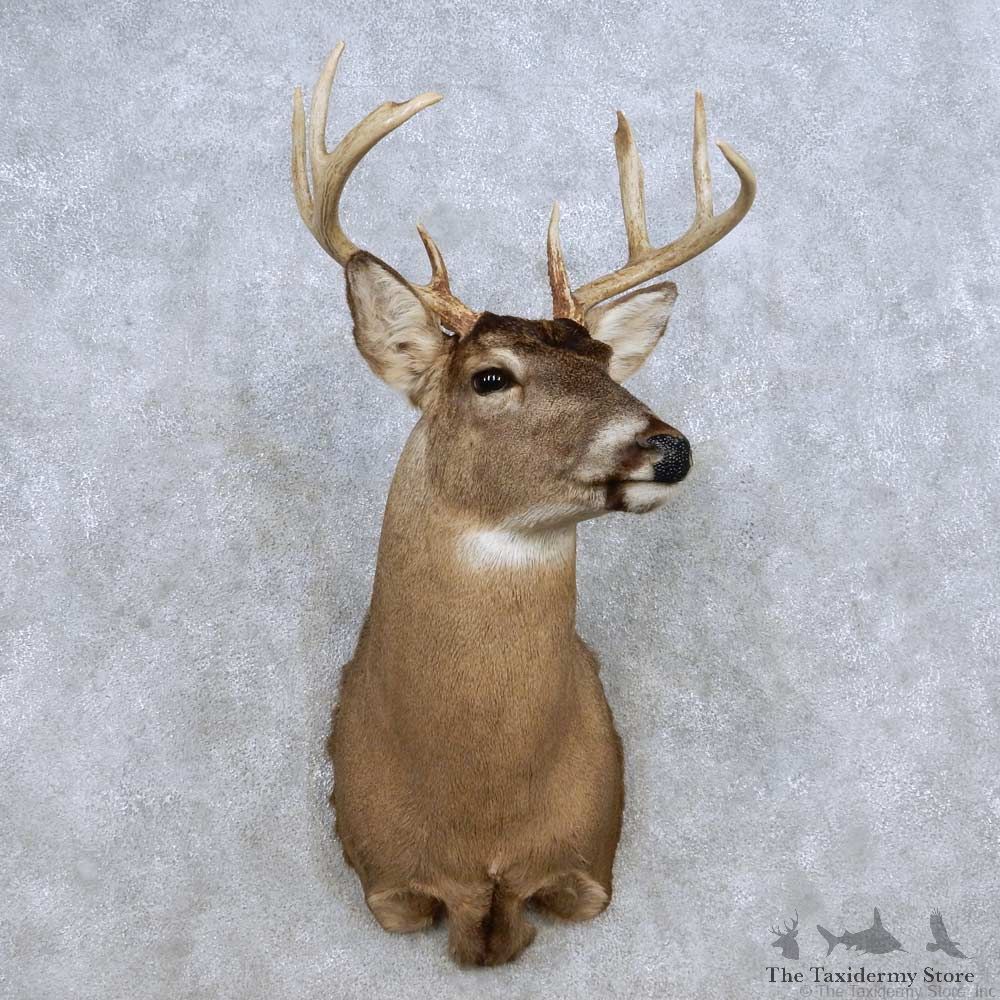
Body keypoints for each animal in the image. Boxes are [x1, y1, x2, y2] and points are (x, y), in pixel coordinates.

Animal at [291, 42, 755, 966]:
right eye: (490, 377)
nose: (669, 448)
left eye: (608, 365)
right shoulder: (387, 883)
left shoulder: (589, 862)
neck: (485, 822)